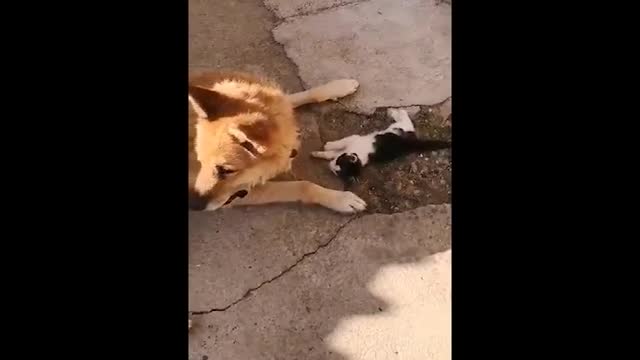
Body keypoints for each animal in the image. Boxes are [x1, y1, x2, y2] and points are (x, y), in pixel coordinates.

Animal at [188, 70, 368, 214]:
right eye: (201, 162)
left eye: (226, 170)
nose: (192, 206)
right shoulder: (244, 192)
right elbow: (302, 186)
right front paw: (340, 199)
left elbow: (299, 96)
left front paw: (338, 86)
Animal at [312, 108, 450, 184]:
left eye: (337, 169)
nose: (330, 166)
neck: (359, 156)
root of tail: (412, 143)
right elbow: (333, 152)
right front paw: (320, 153)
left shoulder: (354, 139)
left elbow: (339, 144)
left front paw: (328, 146)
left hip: (400, 128)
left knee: (406, 120)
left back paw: (395, 112)